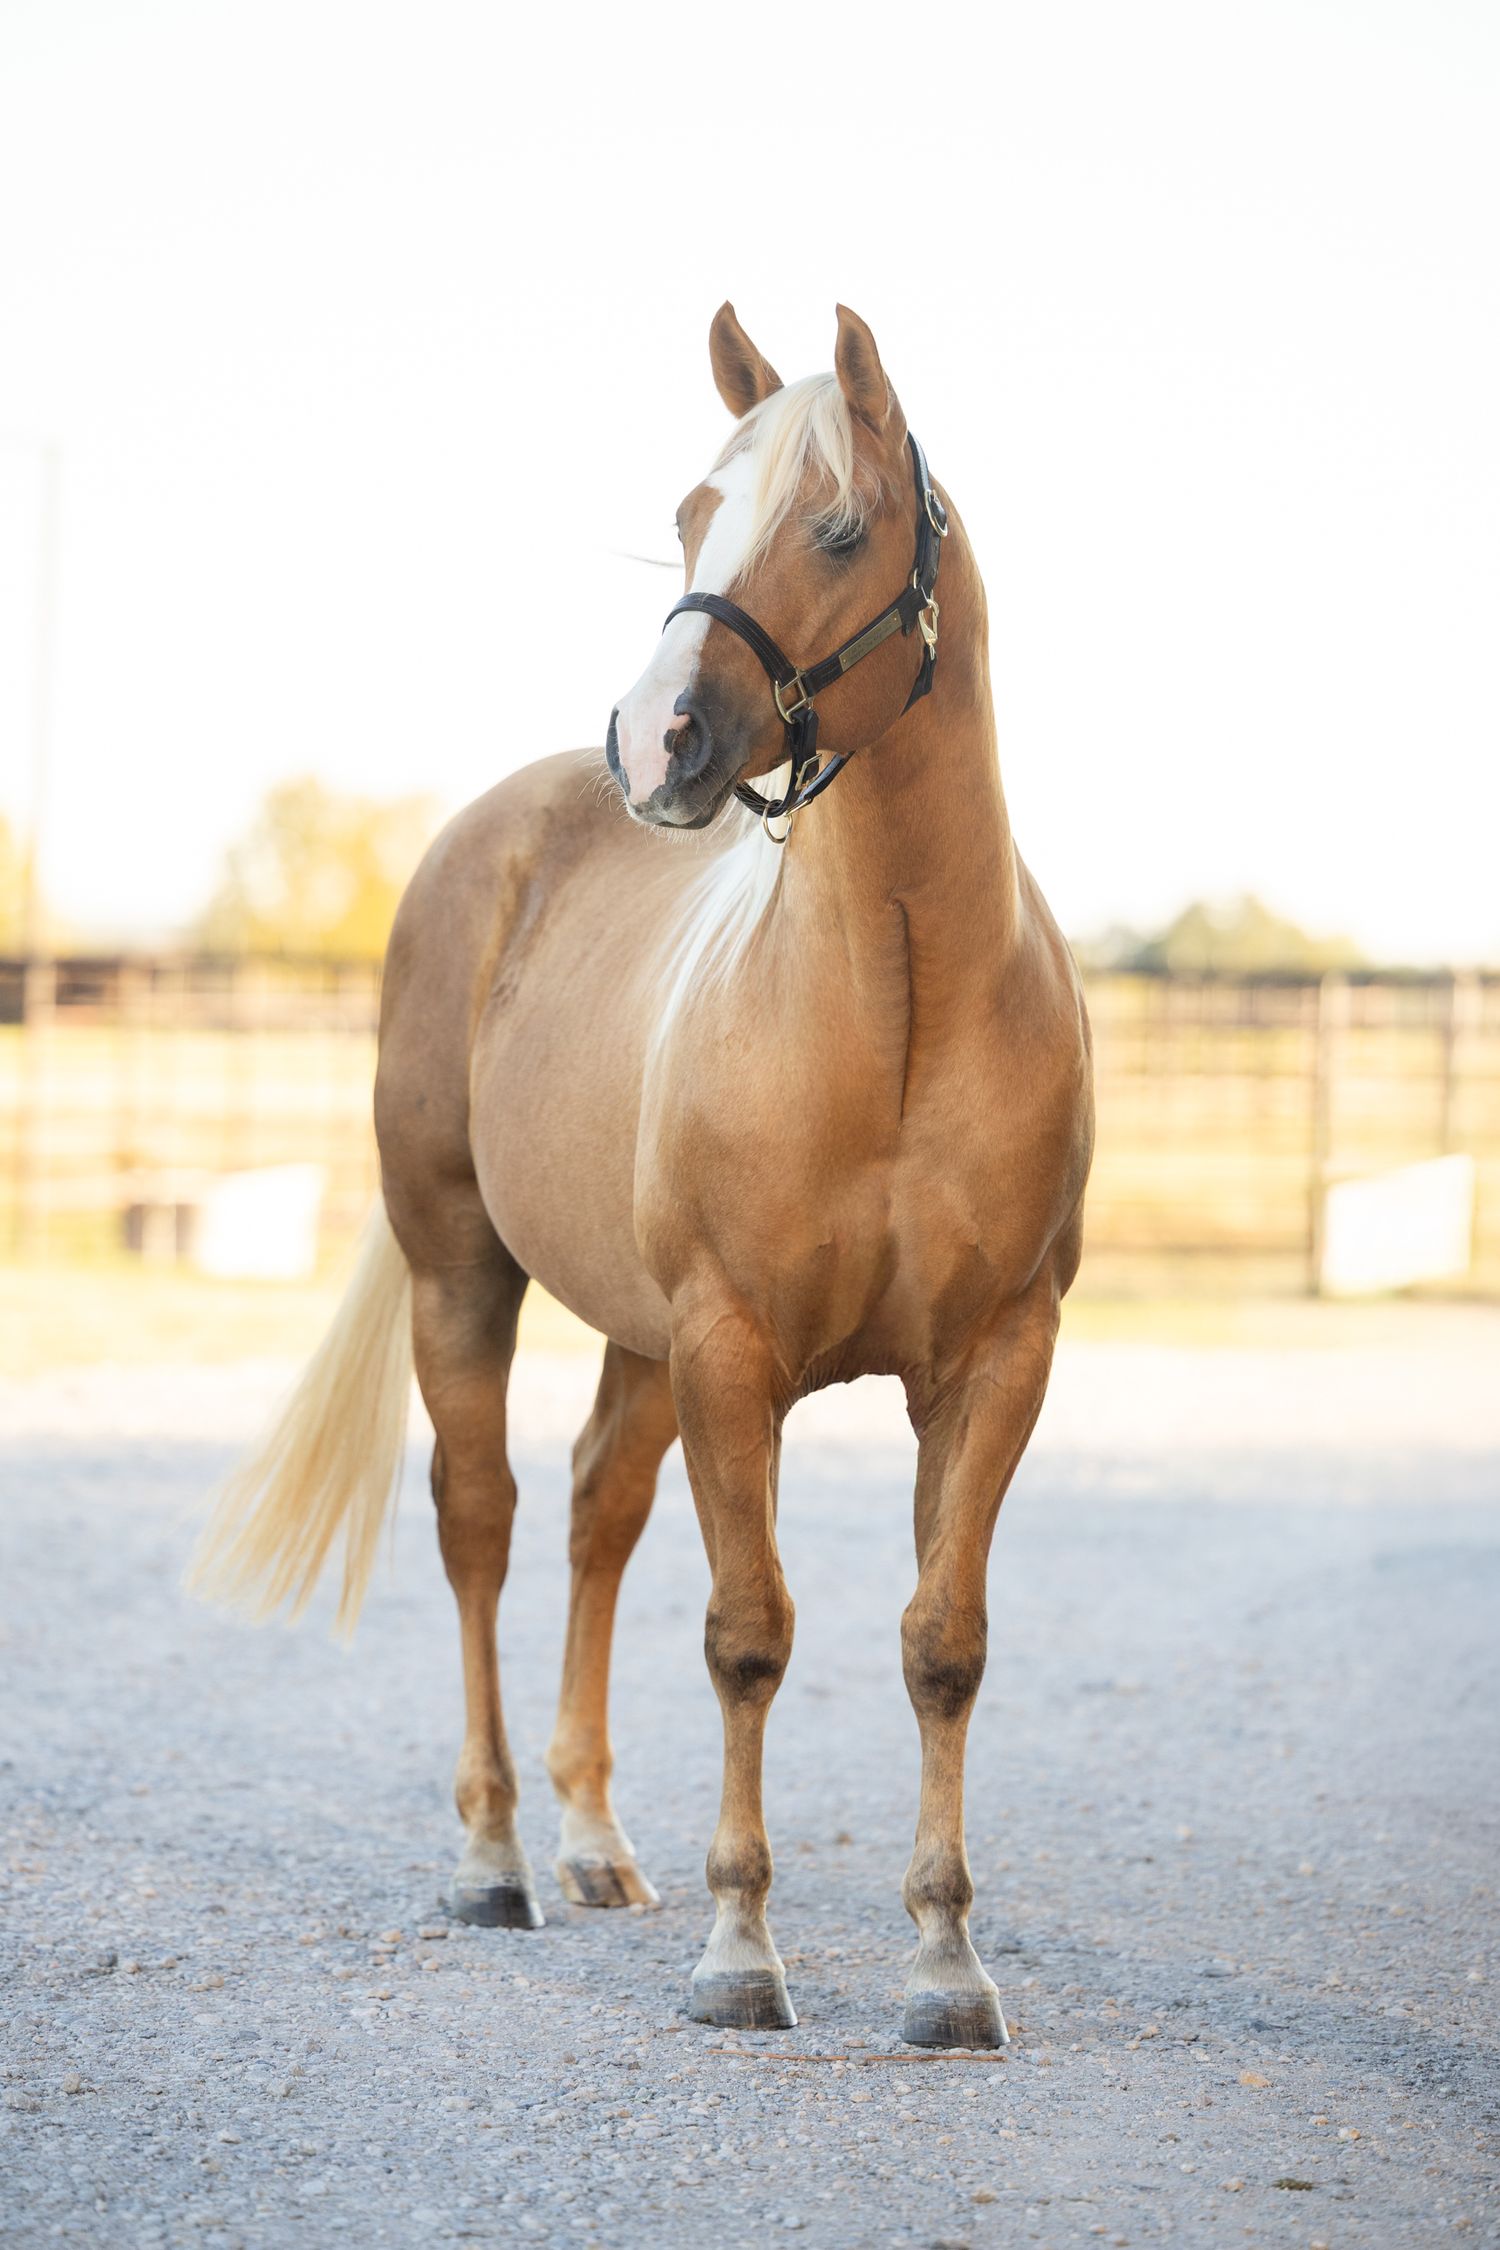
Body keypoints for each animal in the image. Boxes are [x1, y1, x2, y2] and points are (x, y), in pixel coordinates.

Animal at [191, 303, 1095, 2049]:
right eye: (690, 515)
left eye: (839, 527)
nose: (657, 738)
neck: (894, 1006)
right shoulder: (733, 1348)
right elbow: (748, 1635)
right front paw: (744, 1954)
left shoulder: (992, 1358)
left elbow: (942, 1642)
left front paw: (948, 1966)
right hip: (465, 1273)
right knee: (481, 1519)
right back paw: (493, 1858)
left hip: (634, 1331)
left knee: (594, 1515)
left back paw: (596, 1842)